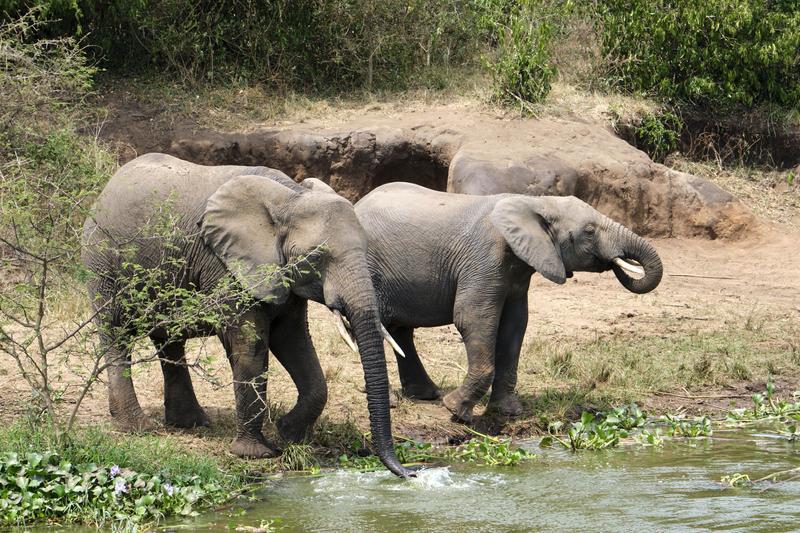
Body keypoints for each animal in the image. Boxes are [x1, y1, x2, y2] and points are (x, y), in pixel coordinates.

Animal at [83, 152, 412, 476]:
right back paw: (136, 427)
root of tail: (103, 192)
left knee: (169, 342)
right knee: (116, 332)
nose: (409, 474)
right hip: (103, 263)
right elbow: (250, 343)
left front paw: (287, 432)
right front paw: (256, 454)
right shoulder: (225, 264)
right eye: (316, 256)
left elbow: (293, 340)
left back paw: (190, 422)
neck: (290, 198)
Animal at [356, 181, 664, 422]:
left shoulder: (517, 272)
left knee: (400, 332)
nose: (617, 261)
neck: (536, 202)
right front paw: (456, 411)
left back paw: (427, 394)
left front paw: (507, 412)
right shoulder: (484, 259)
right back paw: (399, 401)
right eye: (589, 231)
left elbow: (515, 326)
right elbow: (472, 318)